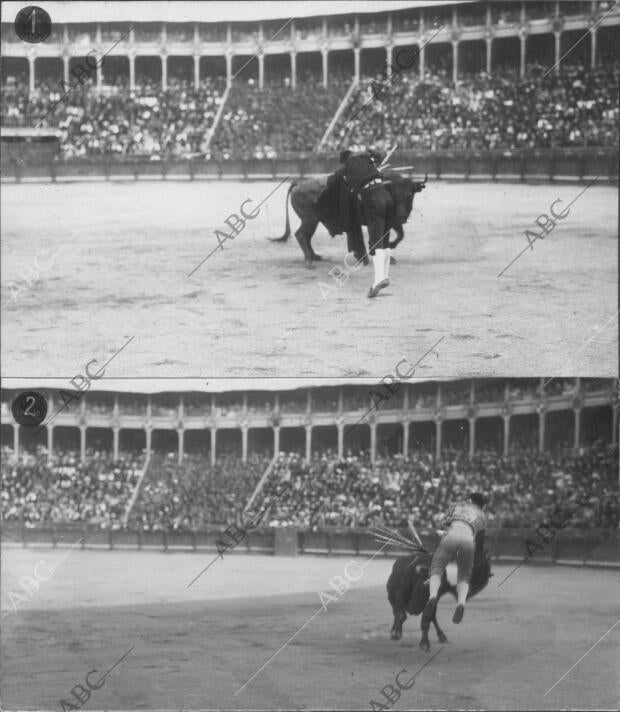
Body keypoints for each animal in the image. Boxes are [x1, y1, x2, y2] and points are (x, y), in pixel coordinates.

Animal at [268, 170, 424, 268]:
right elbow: (381, 238)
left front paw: (390, 254)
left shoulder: (392, 222)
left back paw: (315, 256)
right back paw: (309, 261)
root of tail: (299, 183)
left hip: (313, 220)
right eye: (395, 194)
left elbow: (398, 235)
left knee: (306, 237)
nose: (402, 215)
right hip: (309, 219)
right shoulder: (378, 222)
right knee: (301, 235)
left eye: (410, 194)